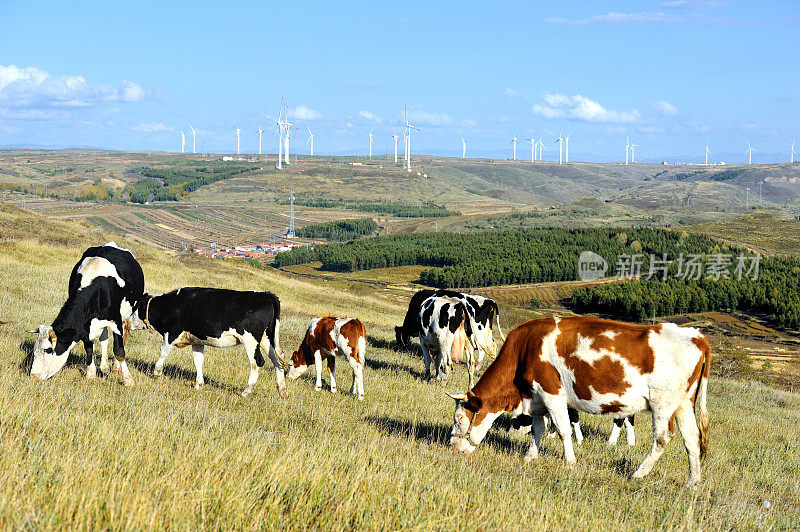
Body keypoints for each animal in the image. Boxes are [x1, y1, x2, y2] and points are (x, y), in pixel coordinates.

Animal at [29, 242, 146, 386]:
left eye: (48, 349)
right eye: (35, 349)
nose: (33, 376)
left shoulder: (116, 320)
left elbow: (119, 350)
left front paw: (128, 380)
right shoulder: (86, 324)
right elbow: (89, 347)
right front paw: (91, 375)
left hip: (125, 316)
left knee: (121, 340)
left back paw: (116, 368)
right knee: (104, 339)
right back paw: (104, 367)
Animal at [138, 288, 288, 396]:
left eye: (135, 306)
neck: (171, 305)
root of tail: (265, 295)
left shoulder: (171, 333)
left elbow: (163, 352)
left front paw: (156, 373)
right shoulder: (197, 340)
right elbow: (198, 360)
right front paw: (198, 384)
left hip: (250, 340)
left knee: (257, 362)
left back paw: (246, 392)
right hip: (266, 339)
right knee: (277, 360)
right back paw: (282, 391)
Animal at [450, 316, 712, 486]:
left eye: (460, 418)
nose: (452, 447)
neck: (526, 347)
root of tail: (697, 335)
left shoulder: (552, 392)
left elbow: (563, 429)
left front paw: (570, 461)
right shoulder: (535, 397)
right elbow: (538, 428)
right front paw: (530, 456)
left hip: (662, 402)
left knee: (662, 437)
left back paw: (638, 474)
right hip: (684, 403)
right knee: (692, 439)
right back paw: (693, 482)